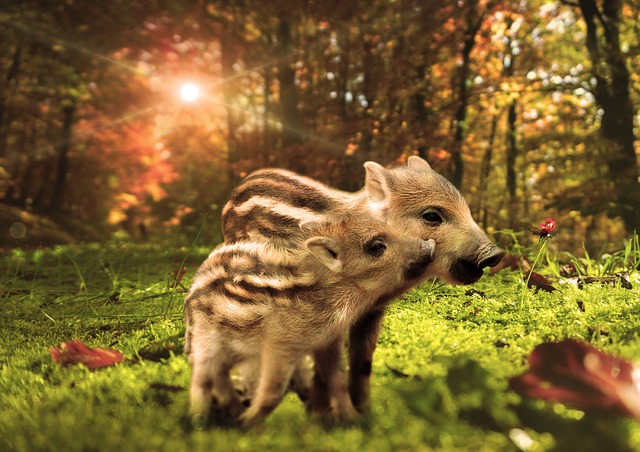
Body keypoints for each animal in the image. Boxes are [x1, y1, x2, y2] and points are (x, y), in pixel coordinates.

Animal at [184, 217, 436, 427]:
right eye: (376, 246)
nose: (429, 245)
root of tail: (193, 288)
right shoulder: (279, 344)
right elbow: (273, 391)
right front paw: (249, 424)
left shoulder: (329, 341)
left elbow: (337, 380)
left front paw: (351, 419)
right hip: (206, 340)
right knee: (202, 376)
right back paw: (200, 419)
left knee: (220, 374)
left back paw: (232, 413)